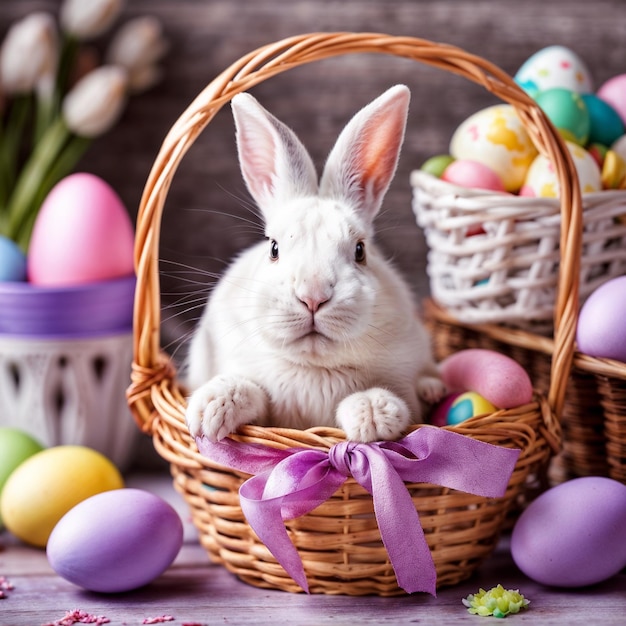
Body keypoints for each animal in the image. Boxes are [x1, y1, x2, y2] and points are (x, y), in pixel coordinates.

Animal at [183, 85, 446, 442]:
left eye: (360, 250)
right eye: (274, 248)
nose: (313, 297)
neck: (313, 367)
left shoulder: (406, 391)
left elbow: (400, 404)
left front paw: (372, 415)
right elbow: (254, 392)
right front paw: (211, 410)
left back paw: (433, 388)